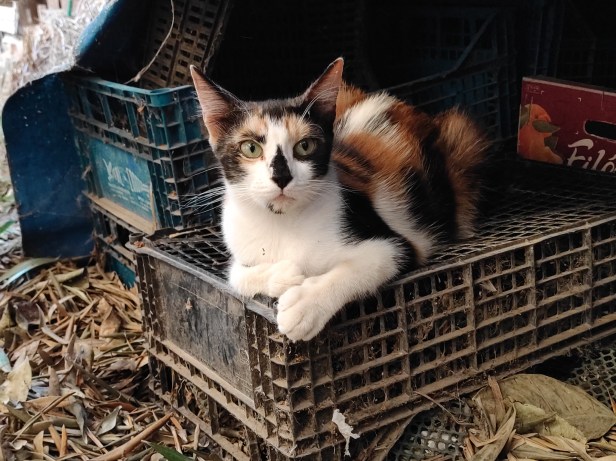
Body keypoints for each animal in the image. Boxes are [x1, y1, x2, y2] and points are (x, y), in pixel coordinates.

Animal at [190, 58, 490, 341]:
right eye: (251, 148)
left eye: (305, 146)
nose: (282, 177)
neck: (282, 224)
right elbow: (235, 274)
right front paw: (283, 274)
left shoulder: (399, 244)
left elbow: (366, 265)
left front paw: (304, 307)